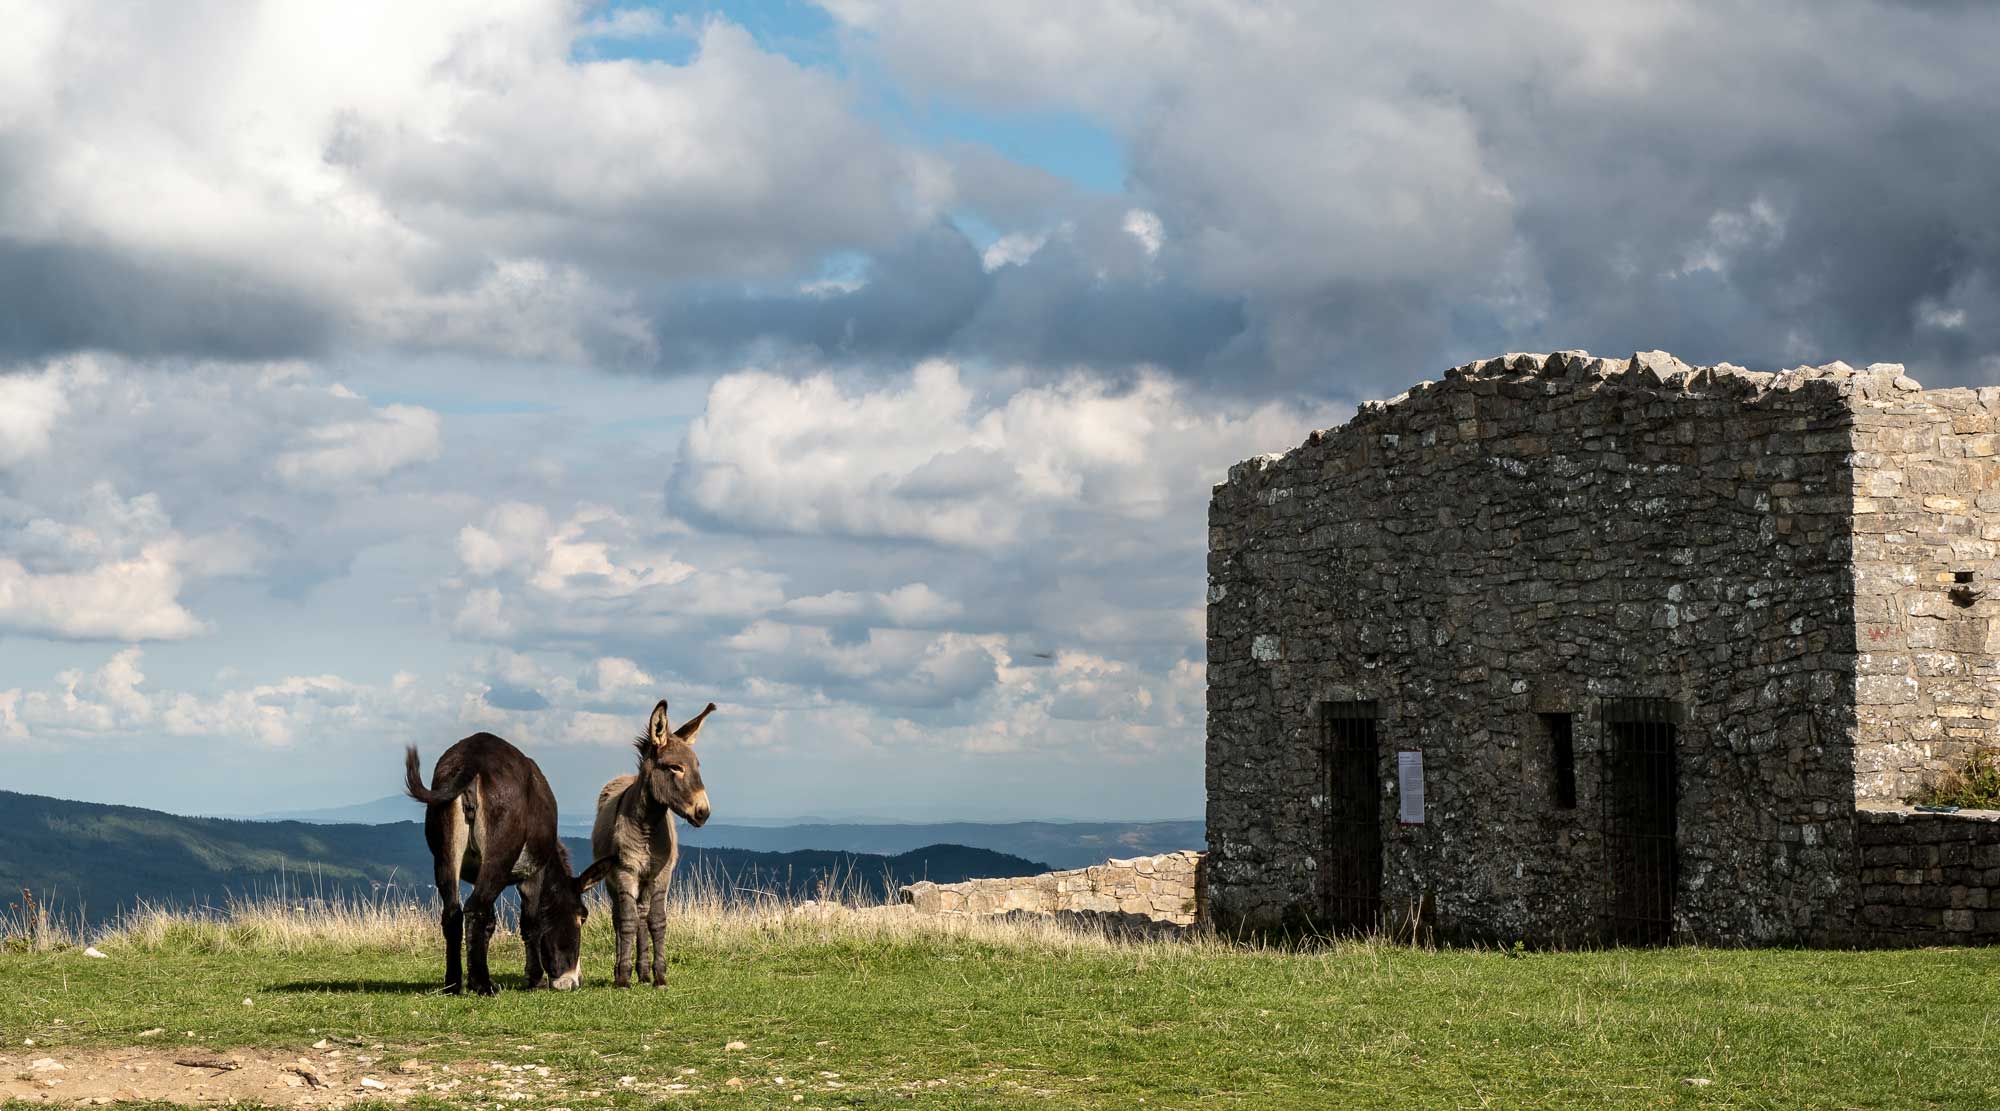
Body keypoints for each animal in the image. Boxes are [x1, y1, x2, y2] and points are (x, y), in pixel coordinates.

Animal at [588, 703, 716, 991]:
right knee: (621, 918)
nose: (703, 812)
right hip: (611, 879)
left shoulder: (660, 874)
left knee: (642, 916)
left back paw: (644, 972)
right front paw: (623, 979)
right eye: (674, 767)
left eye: (697, 766)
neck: (647, 824)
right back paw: (621, 970)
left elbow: (657, 922)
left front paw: (660, 977)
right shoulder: (625, 872)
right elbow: (626, 923)